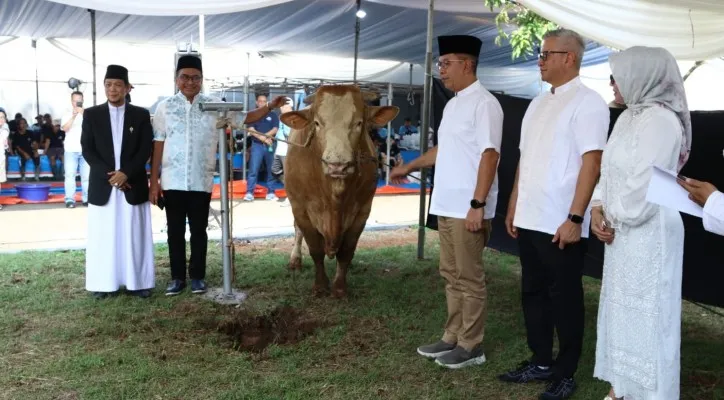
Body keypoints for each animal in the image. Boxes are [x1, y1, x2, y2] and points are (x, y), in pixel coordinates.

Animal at [280, 85, 398, 296]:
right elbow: (315, 249)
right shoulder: (301, 208)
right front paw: (320, 285)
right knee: (297, 230)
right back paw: (295, 260)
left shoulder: (362, 210)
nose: (338, 165)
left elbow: (347, 251)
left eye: (359, 122)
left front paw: (340, 287)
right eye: (317, 123)